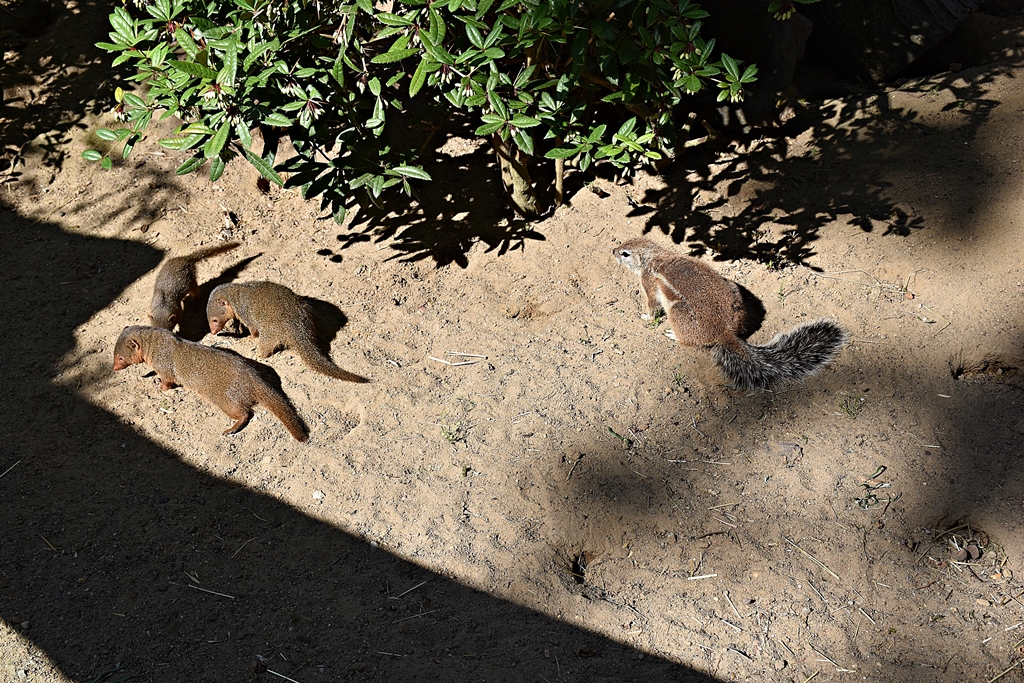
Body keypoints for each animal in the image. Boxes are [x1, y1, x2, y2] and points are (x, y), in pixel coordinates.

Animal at [113, 325, 308, 441]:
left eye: (120, 357)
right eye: (114, 354)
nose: (114, 368)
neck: (156, 345)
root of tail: (254, 378)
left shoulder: (166, 368)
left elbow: (168, 381)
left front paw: (160, 386)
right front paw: (152, 377)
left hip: (226, 400)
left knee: (245, 413)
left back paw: (230, 430)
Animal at [206, 281, 369, 383]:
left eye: (214, 320)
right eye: (208, 320)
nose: (213, 332)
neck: (236, 296)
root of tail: (298, 329)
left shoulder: (246, 314)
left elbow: (253, 329)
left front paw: (250, 337)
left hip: (270, 332)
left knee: (266, 346)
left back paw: (258, 354)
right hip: (307, 312)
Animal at [612, 237, 848, 391]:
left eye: (625, 254)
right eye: (624, 243)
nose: (613, 250)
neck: (655, 256)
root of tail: (724, 332)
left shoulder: (648, 281)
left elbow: (652, 305)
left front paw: (646, 317)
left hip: (678, 312)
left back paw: (673, 335)